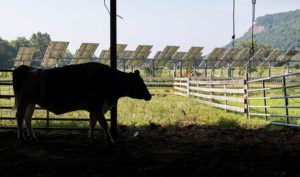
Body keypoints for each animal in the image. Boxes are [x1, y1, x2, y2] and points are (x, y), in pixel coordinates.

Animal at [12, 62, 151, 145]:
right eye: (139, 82)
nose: (149, 96)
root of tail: (25, 68)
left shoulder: (94, 108)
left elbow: (92, 122)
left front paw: (92, 138)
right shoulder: (97, 106)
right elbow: (104, 124)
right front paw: (110, 140)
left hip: (31, 103)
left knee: (27, 118)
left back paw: (32, 136)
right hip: (23, 101)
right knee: (19, 117)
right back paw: (21, 138)